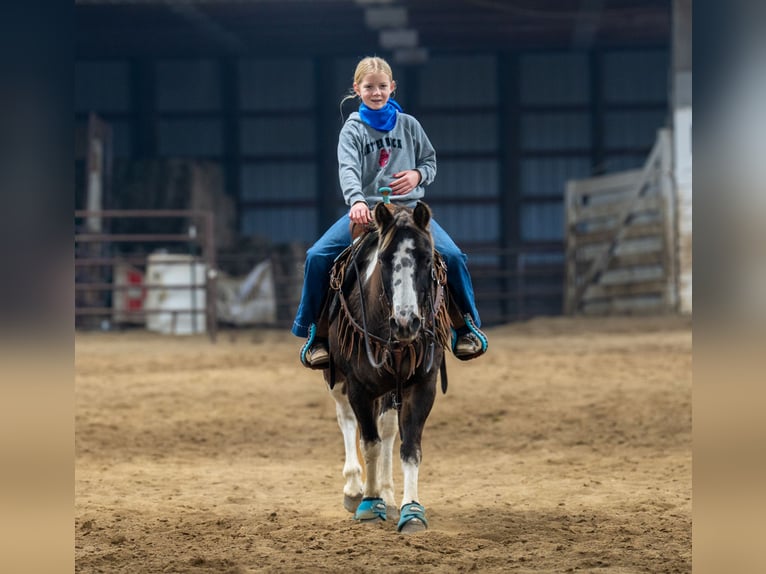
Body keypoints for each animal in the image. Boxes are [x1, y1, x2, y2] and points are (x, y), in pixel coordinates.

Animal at [322, 201, 450, 536]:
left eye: (425, 257)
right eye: (383, 258)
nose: (406, 322)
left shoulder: (423, 385)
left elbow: (409, 447)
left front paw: (411, 509)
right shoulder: (358, 386)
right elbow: (369, 442)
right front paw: (368, 503)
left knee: (389, 430)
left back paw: (388, 495)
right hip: (336, 379)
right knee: (346, 419)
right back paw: (355, 489)